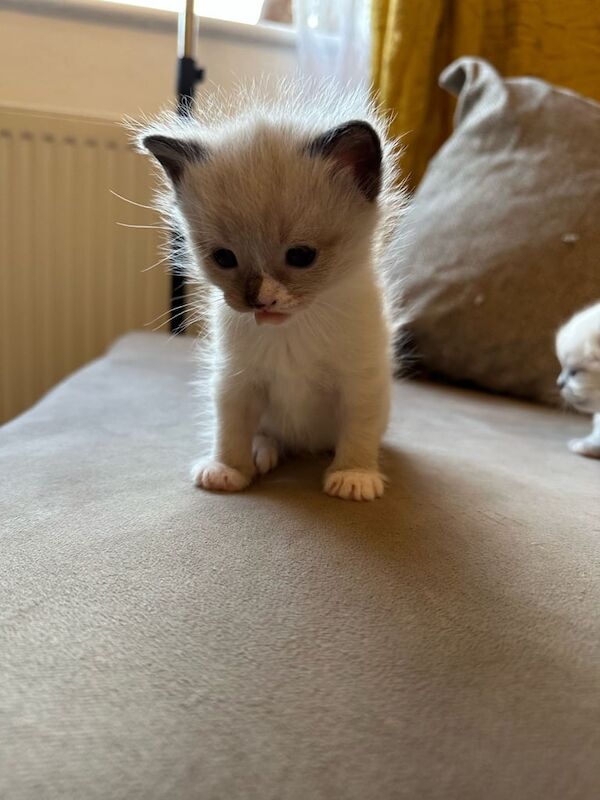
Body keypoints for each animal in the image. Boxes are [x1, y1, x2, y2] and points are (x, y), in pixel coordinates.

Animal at [138, 84, 406, 504]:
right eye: (224, 258)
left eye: (301, 256)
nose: (259, 300)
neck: (292, 329)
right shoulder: (236, 380)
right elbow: (231, 428)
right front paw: (229, 469)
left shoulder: (361, 380)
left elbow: (359, 430)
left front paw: (355, 475)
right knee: (269, 436)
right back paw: (261, 452)